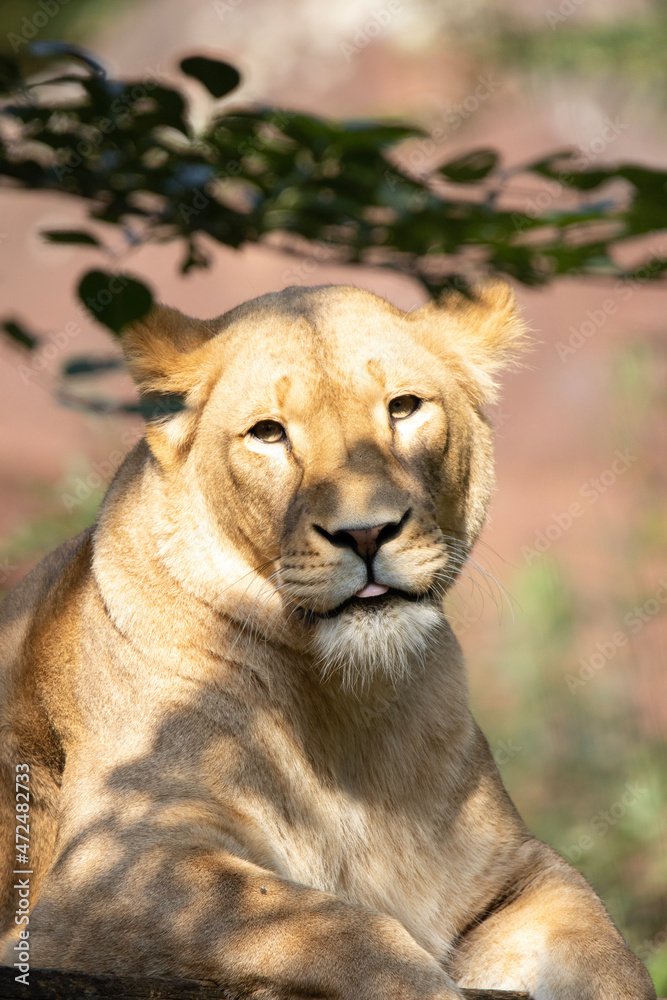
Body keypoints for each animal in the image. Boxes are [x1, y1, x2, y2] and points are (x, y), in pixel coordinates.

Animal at [0, 282, 656, 999]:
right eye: (268, 433)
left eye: (403, 407)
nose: (366, 533)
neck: (345, 711)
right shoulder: (107, 869)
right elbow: (329, 924)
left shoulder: (508, 871)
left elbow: (604, 949)